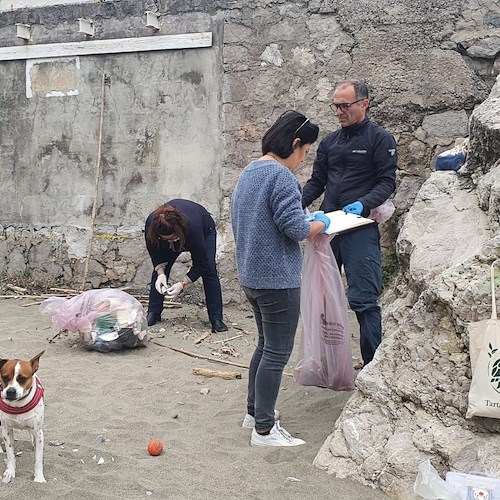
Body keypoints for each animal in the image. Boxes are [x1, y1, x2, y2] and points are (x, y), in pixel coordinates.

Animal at [0, 350, 45, 482]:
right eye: (5, 377)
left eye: (22, 379)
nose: (10, 391)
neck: (18, 404)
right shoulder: (6, 430)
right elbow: (10, 454)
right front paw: (10, 471)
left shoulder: (38, 432)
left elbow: (38, 458)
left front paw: (39, 477)